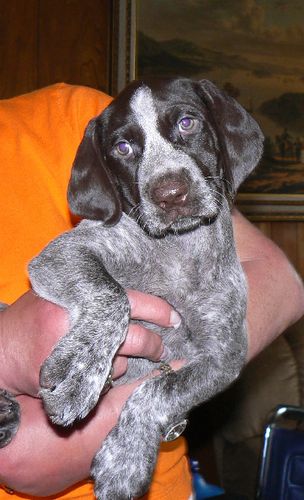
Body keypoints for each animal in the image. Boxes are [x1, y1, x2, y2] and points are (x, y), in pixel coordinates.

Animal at [0, 80, 264, 498]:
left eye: (188, 123)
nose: (170, 193)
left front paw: (125, 458)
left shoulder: (224, 357)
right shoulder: (65, 253)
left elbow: (160, 390)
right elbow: (113, 296)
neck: (174, 251)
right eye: (123, 147)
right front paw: (79, 374)